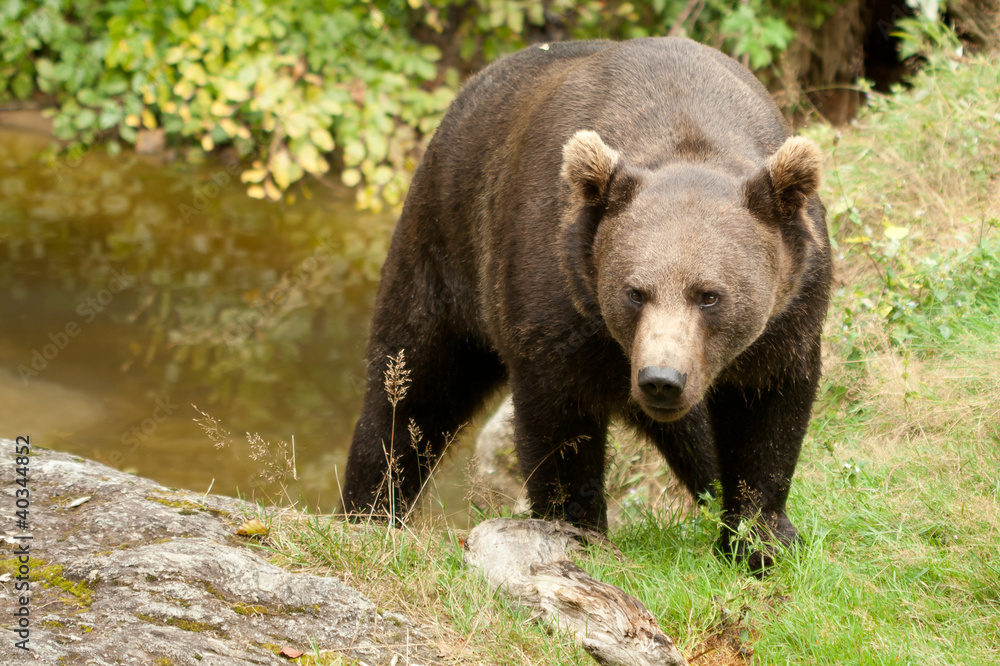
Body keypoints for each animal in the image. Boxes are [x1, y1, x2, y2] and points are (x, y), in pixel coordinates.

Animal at [340, 36, 832, 568]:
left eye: (709, 295)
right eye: (635, 292)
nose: (661, 379)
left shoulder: (790, 302)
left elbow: (765, 409)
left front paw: (759, 538)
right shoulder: (556, 297)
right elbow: (560, 424)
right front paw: (579, 528)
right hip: (446, 253)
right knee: (412, 388)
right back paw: (368, 510)